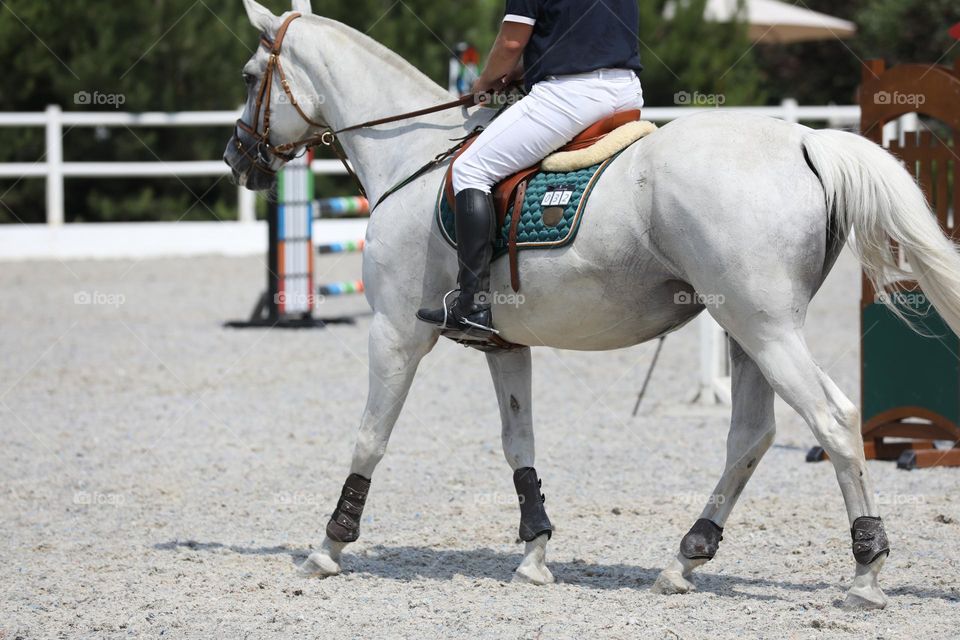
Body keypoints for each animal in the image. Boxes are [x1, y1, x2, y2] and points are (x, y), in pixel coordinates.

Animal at [224, 0, 960, 609]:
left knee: (833, 422)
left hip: (765, 327)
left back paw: (865, 572)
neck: (414, 160)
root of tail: (806, 139)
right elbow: (518, 442)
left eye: (249, 74)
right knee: (751, 435)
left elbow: (370, 437)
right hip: (746, 331)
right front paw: (535, 552)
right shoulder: (503, 344)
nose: (238, 158)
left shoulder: (394, 334)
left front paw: (329, 545)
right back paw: (685, 559)